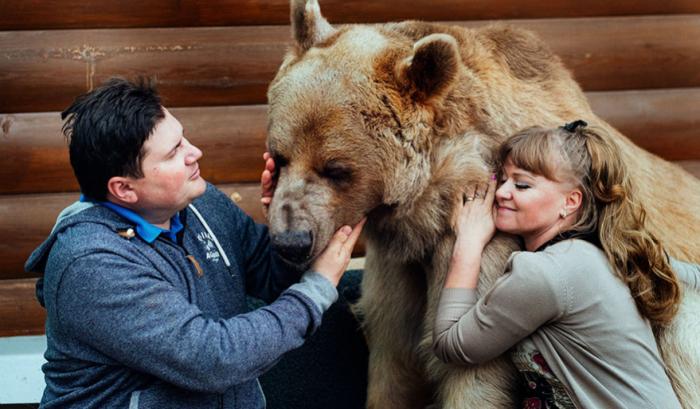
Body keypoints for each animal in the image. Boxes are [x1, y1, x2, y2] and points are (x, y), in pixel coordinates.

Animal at [264, 1, 700, 406]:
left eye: (336, 168)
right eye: (279, 157)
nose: (291, 241)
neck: (426, 207)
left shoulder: (489, 247)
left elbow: (471, 367)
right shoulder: (397, 265)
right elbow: (394, 355)